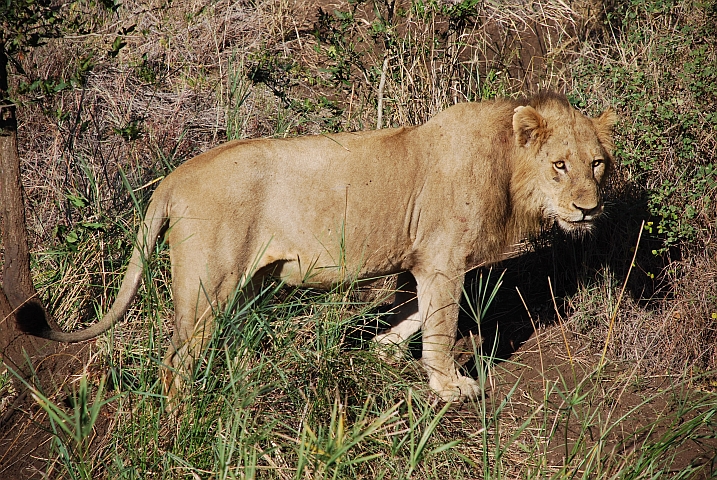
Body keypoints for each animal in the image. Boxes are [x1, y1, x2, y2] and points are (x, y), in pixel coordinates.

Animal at [19, 91, 620, 404]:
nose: (589, 209)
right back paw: (186, 415)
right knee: (176, 359)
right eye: (559, 166)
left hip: (244, 282)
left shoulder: (423, 261)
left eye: (597, 164)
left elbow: (415, 313)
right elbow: (442, 325)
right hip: (210, 281)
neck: (508, 172)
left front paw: (382, 349)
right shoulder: (443, 258)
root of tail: (174, 176)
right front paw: (450, 386)